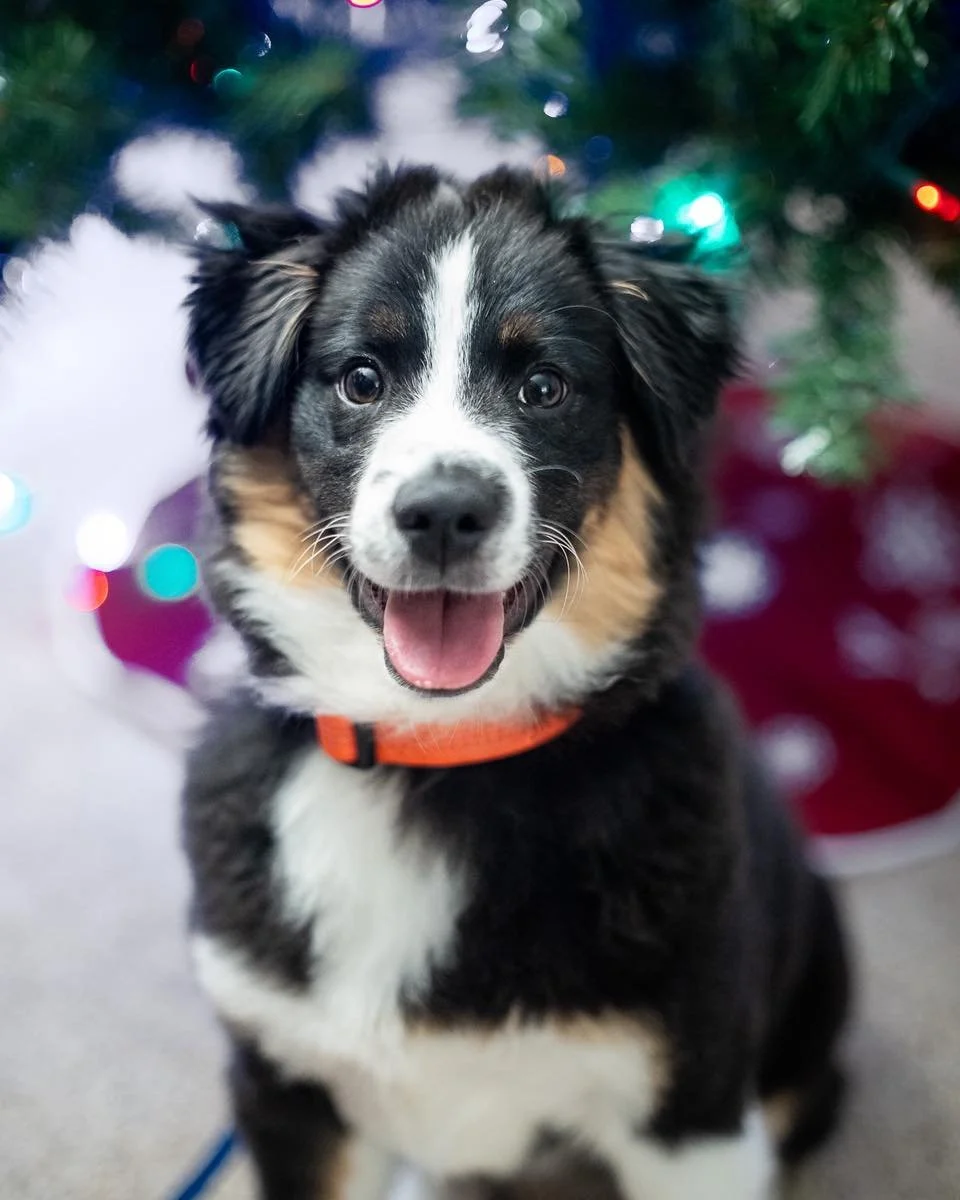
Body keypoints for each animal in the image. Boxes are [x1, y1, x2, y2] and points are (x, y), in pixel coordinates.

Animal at [181, 165, 850, 1200]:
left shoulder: (690, 1108)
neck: (433, 756)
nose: (443, 513)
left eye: (545, 387)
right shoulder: (288, 1087)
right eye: (362, 379)